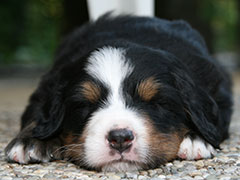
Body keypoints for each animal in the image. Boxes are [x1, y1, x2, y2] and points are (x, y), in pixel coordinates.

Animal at [4, 14, 232, 172]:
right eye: (85, 105)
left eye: (156, 103)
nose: (120, 138)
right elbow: (36, 115)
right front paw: (30, 141)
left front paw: (196, 139)